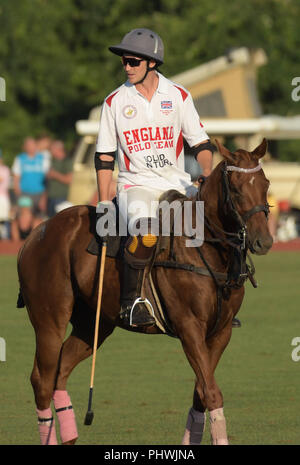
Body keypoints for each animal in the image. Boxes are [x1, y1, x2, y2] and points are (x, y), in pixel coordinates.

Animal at [17, 138, 274, 442]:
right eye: (235, 188)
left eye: (266, 183)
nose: (263, 241)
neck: (208, 249)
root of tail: (35, 232)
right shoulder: (189, 326)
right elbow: (211, 392)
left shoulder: (220, 332)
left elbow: (201, 391)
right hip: (49, 319)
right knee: (42, 379)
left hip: (93, 323)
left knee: (61, 370)